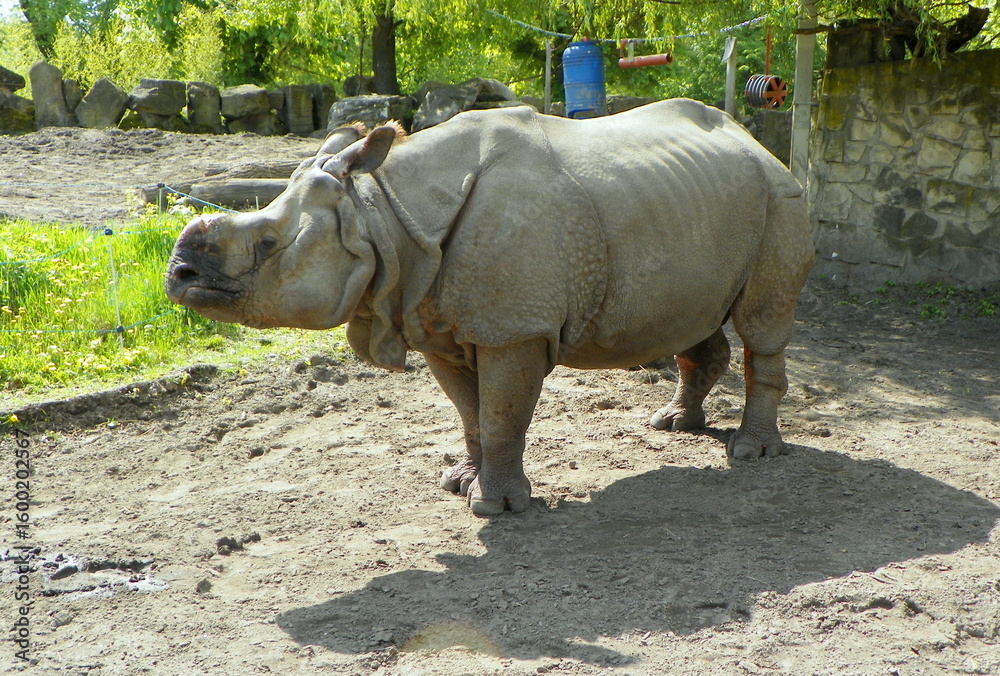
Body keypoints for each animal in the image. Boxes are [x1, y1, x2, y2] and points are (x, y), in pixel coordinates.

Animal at [165, 99, 815, 516]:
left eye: (268, 244)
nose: (177, 276)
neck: (383, 213)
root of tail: (758, 144)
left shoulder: (513, 327)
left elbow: (502, 412)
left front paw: (497, 508)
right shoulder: (431, 317)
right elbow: (470, 411)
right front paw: (460, 482)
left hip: (781, 198)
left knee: (762, 322)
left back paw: (752, 453)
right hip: (696, 203)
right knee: (691, 317)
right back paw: (675, 425)